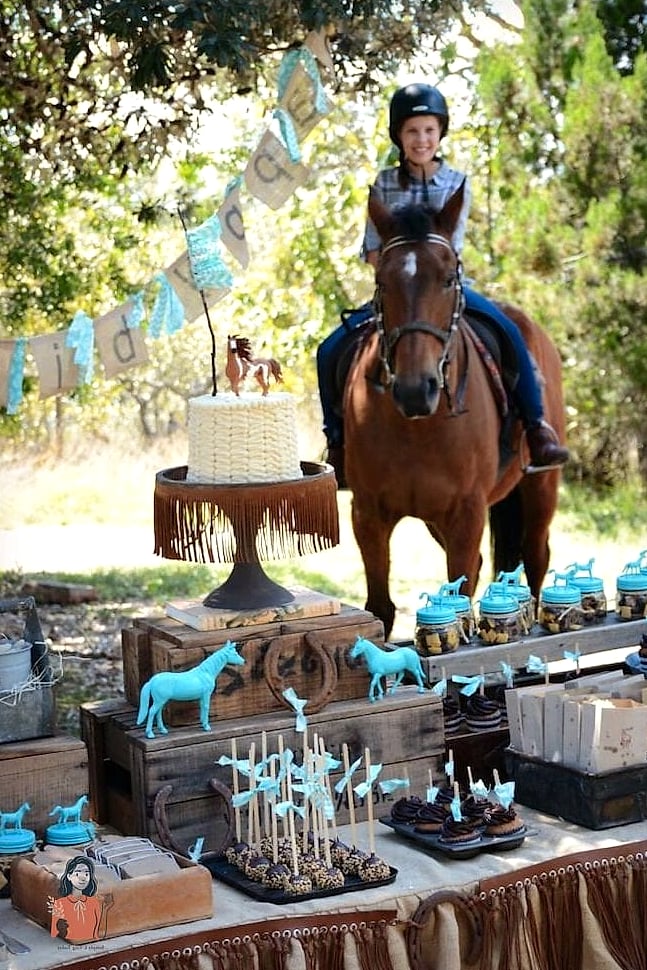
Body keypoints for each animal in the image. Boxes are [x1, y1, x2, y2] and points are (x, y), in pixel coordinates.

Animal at [344, 184, 565, 639]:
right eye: (381, 281)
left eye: (448, 278)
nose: (416, 390)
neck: (416, 427)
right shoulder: (368, 514)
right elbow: (380, 608)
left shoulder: (467, 513)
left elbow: (461, 590)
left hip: (540, 488)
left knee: (536, 557)